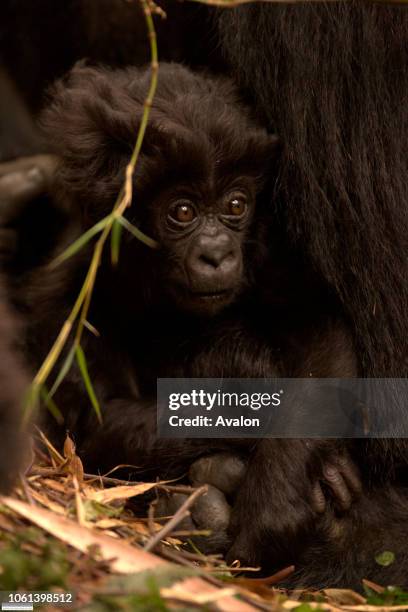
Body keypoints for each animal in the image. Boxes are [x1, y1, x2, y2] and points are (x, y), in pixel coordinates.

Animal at [25, 63, 360, 584]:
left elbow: (322, 338)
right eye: (182, 211)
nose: (217, 254)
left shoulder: (267, 257)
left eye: (236, 205)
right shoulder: (67, 297)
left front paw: (277, 497)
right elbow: (94, 427)